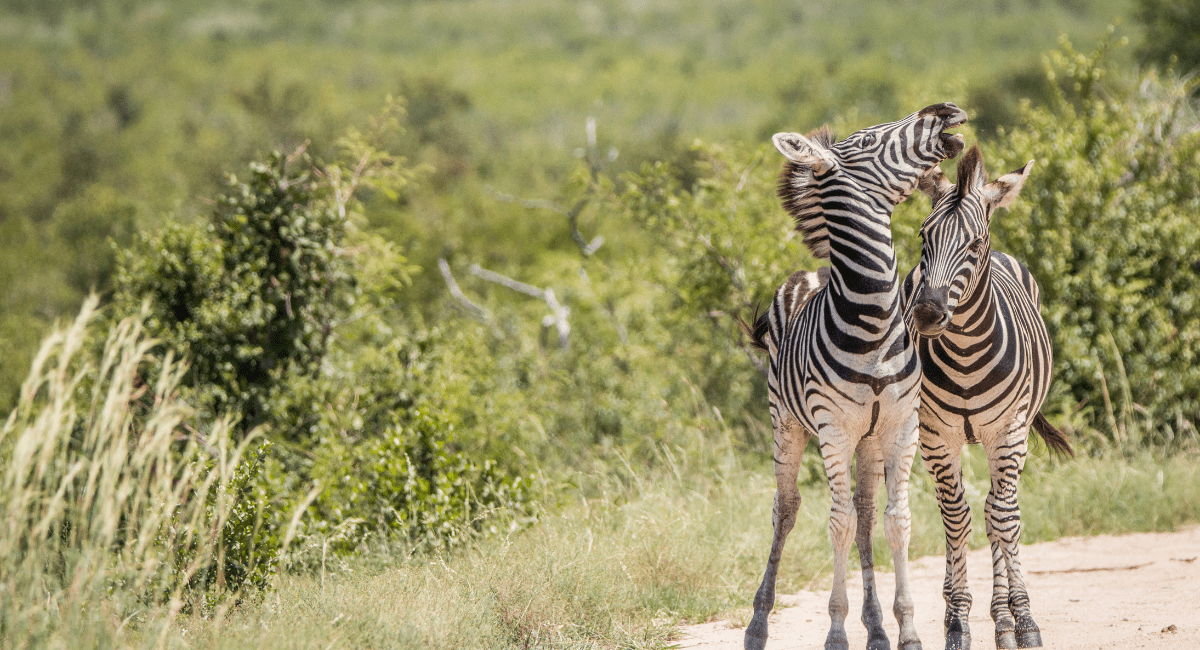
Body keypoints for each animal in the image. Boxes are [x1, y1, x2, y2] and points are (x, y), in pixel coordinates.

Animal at [744, 103, 969, 650]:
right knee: (787, 509)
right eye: (867, 139)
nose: (946, 110)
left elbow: (896, 522)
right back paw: (758, 625)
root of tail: (811, 272)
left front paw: (906, 629)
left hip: (868, 439)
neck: (873, 317)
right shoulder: (834, 430)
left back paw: (877, 628)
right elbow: (839, 523)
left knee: (867, 513)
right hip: (788, 424)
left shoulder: (900, 426)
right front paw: (836, 631)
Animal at [902, 147, 1080, 650]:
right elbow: (955, 517)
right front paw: (957, 622)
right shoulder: (936, 436)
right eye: (923, 237)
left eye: (974, 243)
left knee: (999, 511)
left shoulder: (1009, 430)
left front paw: (1024, 621)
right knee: (966, 509)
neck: (964, 352)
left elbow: (1003, 517)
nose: (927, 314)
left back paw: (1003, 618)